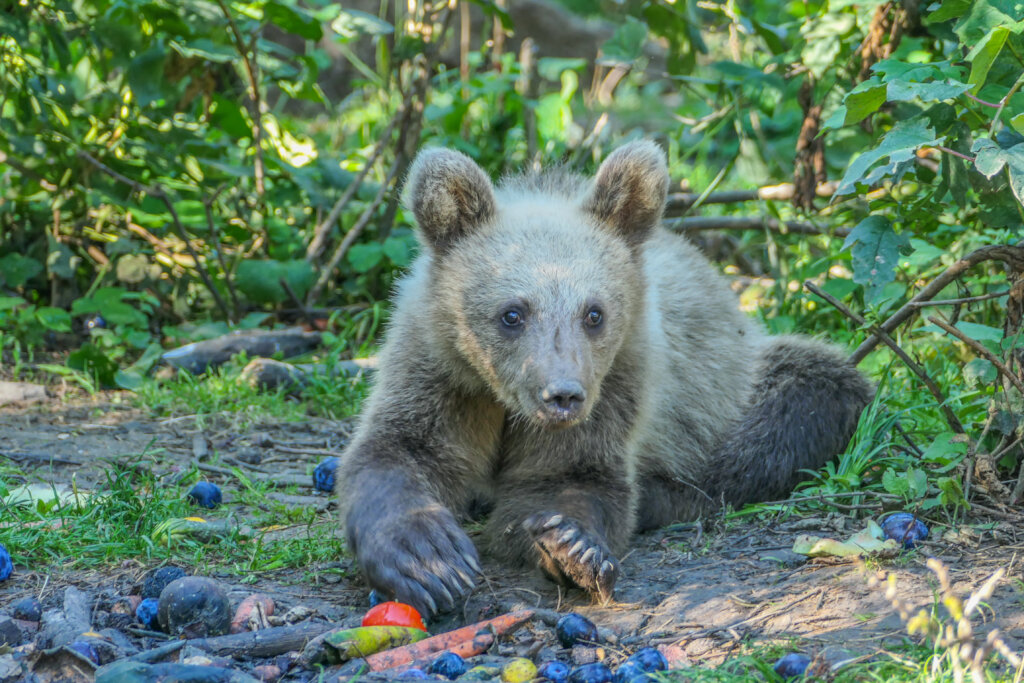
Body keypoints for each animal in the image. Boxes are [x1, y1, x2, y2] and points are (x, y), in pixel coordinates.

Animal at [336, 140, 873, 617]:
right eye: (512, 313)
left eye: (594, 313)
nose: (562, 395)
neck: (505, 401)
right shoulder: (440, 371)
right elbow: (400, 449)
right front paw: (429, 558)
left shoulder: (617, 381)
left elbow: (577, 475)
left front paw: (572, 544)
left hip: (733, 381)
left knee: (808, 396)